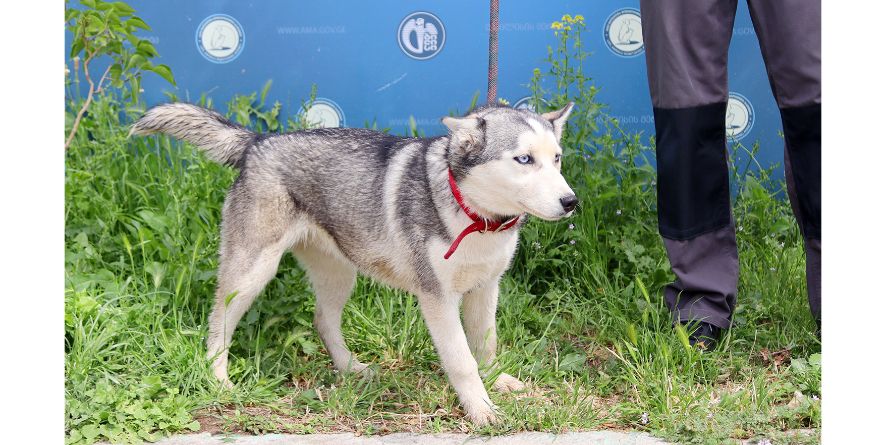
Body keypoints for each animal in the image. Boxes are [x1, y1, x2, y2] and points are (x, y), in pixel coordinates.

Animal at [128, 100, 580, 424]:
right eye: (524, 159)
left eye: (557, 158)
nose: (571, 201)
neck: (474, 216)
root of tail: (258, 141)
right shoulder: (437, 299)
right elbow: (462, 361)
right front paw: (481, 410)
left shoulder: (486, 289)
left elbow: (486, 346)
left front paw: (496, 382)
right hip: (252, 272)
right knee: (218, 322)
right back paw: (219, 379)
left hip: (340, 273)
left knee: (322, 320)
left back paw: (349, 369)